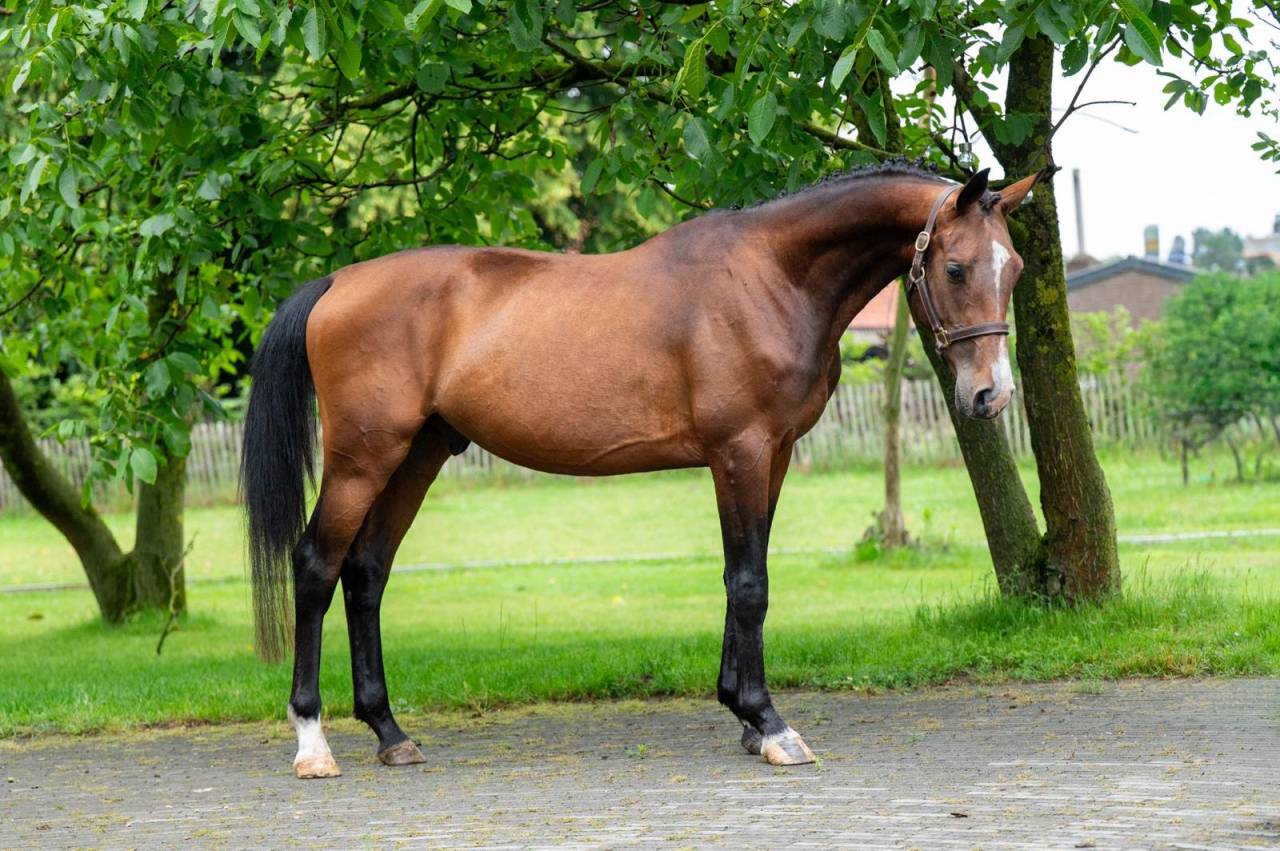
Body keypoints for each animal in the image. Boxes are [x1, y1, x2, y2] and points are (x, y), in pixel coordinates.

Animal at [240, 162, 1044, 778]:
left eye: (1014, 268)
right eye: (955, 267)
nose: (990, 395)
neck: (770, 276)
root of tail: (337, 282)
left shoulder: (774, 453)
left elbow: (741, 576)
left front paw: (742, 712)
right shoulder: (741, 450)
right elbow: (749, 583)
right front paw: (770, 724)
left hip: (418, 454)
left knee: (365, 573)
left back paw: (389, 732)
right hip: (363, 458)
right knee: (316, 567)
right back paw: (312, 742)